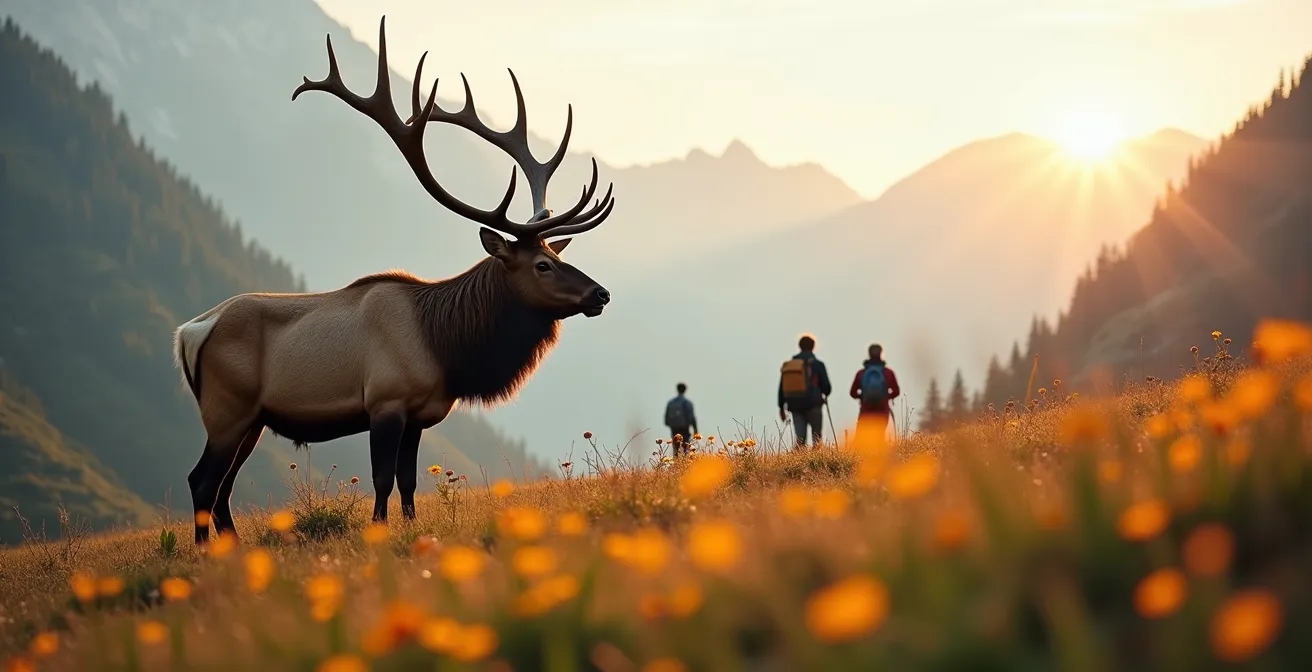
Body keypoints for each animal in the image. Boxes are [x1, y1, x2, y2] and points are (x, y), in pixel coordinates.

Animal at [172, 16, 615, 546]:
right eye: (541, 265)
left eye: (554, 253)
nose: (600, 293)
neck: (446, 346)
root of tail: (190, 332)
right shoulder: (385, 401)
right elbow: (382, 479)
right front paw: (379, 534)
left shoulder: (420, 413)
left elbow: (408, 482)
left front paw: (410, 530)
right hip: (226, 408)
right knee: (202, 480)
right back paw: (205, 552)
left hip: (252, 418)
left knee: (223, 487)